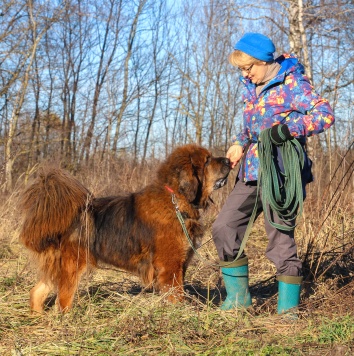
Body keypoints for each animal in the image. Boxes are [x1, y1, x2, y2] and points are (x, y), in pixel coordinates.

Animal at [20, 144, 230, 312]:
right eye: (207, 160)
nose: (229, 159)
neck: (176, 200)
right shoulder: (170, 266)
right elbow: (176, 294)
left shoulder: (179, 264)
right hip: (73, 266)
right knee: (62, 300)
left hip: (59, 266)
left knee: (37, 291)